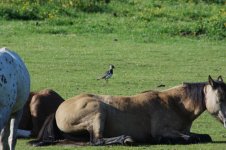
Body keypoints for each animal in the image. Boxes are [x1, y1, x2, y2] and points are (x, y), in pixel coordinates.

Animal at [29, 75, 226, 146]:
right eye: (220, 98)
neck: (173, 104)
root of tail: (58, 110)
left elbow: (203, 136)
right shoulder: (163, 131)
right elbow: (188, 138)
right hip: (98, 112)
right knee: (97, 141)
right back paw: (126, 139)